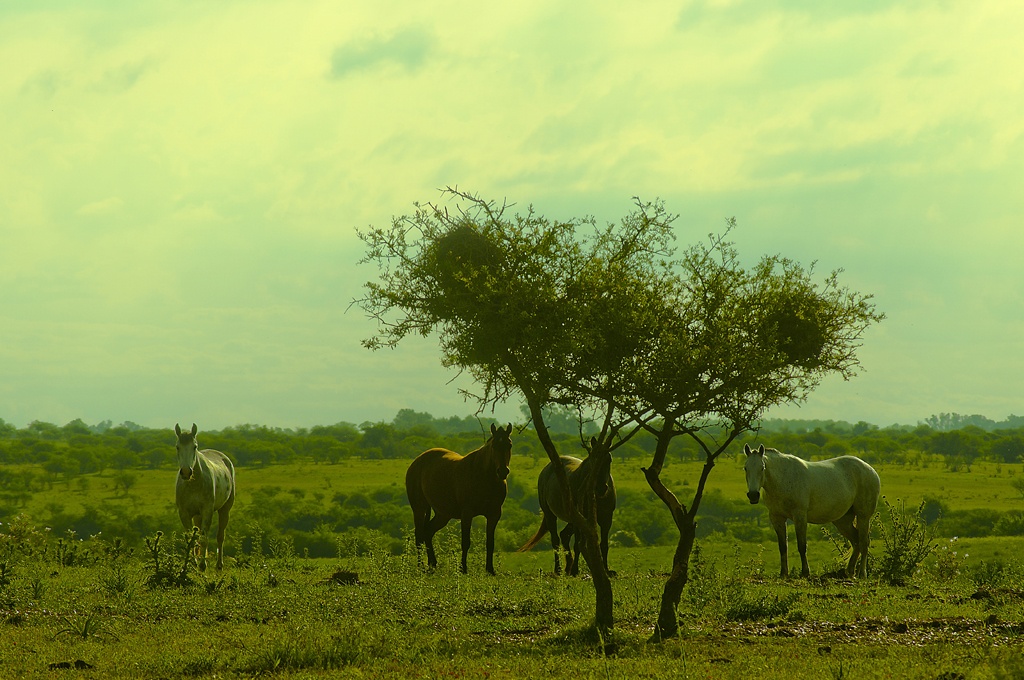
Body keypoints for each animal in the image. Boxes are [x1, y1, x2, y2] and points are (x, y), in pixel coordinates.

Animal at [178, 421, 239, 569]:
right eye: (177, 447)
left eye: (194, 447)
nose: (186, 472)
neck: (193, 484)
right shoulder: (184, 513)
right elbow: (191, 539)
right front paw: (190, 564)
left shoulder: (207, 511)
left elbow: (204, 538)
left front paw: (202, 565)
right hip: (197, 516)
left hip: (224, 510)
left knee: (220, 536)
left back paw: (219, 566)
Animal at [401, 426, 509, 573]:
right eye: (494, 446)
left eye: (509, 445)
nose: (503, 471)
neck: (484, 477)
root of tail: (416, 462)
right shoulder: (467, 513)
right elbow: (465, 542)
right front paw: (463, 569)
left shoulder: (494, 514)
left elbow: (490, 543)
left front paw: (490, 570)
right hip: (419, 508)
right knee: (419, 536)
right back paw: (421, 567)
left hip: (443, 514)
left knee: (428, 531)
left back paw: (432, 564)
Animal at [520, 444, 614, 577]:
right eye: (593, 458)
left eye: (609, 459)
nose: (601, 487)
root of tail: (547, 469)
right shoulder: (581, 521)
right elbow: (578, 545)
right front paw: (575, 570)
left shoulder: (606, 520)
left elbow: (604, 545)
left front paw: (606, 570)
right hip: (550, 515)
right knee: (555, 540)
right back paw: (559, 569)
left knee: (564, 535)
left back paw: (567, 567)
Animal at [745, 446, 880, 577]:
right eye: (745, 468)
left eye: (762, 468)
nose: (753, 495)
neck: (784, 478)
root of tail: (870, 470)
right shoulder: (776, 517)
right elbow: (783, 546)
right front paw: (783, 573)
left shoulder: (799, 516)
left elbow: (802, 545)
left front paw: (805, 573)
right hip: (843, 521)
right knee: (856, 541)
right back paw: (850, 572)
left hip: (863, 516)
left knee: (863, 542)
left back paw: (862, 574)